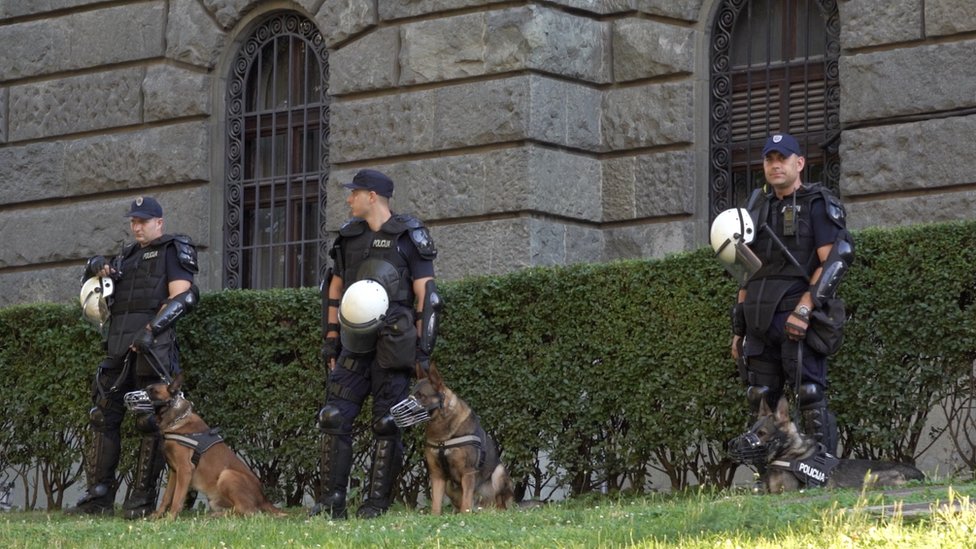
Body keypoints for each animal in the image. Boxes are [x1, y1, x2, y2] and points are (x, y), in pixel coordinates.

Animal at [141, 374, 286, 516]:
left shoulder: (185, 469)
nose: (141, 390)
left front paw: (170, 518)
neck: (176, 419)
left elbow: (177, 499)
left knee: (247, 511)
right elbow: (166, 497)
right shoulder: (174, 471)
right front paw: (157, 517)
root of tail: (264, 499)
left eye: (153, 391)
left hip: (227, 475)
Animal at [402, 364, 520, 512]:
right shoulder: (437, 475)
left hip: (499, 472)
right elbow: (436, 504)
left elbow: (466, 503)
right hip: (448, 484)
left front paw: (465, 515)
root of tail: (482, 507)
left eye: (420, 396)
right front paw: (435, 515)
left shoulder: (468, 473)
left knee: (500, 505)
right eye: (411, 395)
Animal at [728, 394, 928, 492]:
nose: (734, 447)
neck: (789, 452)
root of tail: (921, 476)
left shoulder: (781, 492)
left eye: (762, 434)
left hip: (870, 478)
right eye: (751, 430)